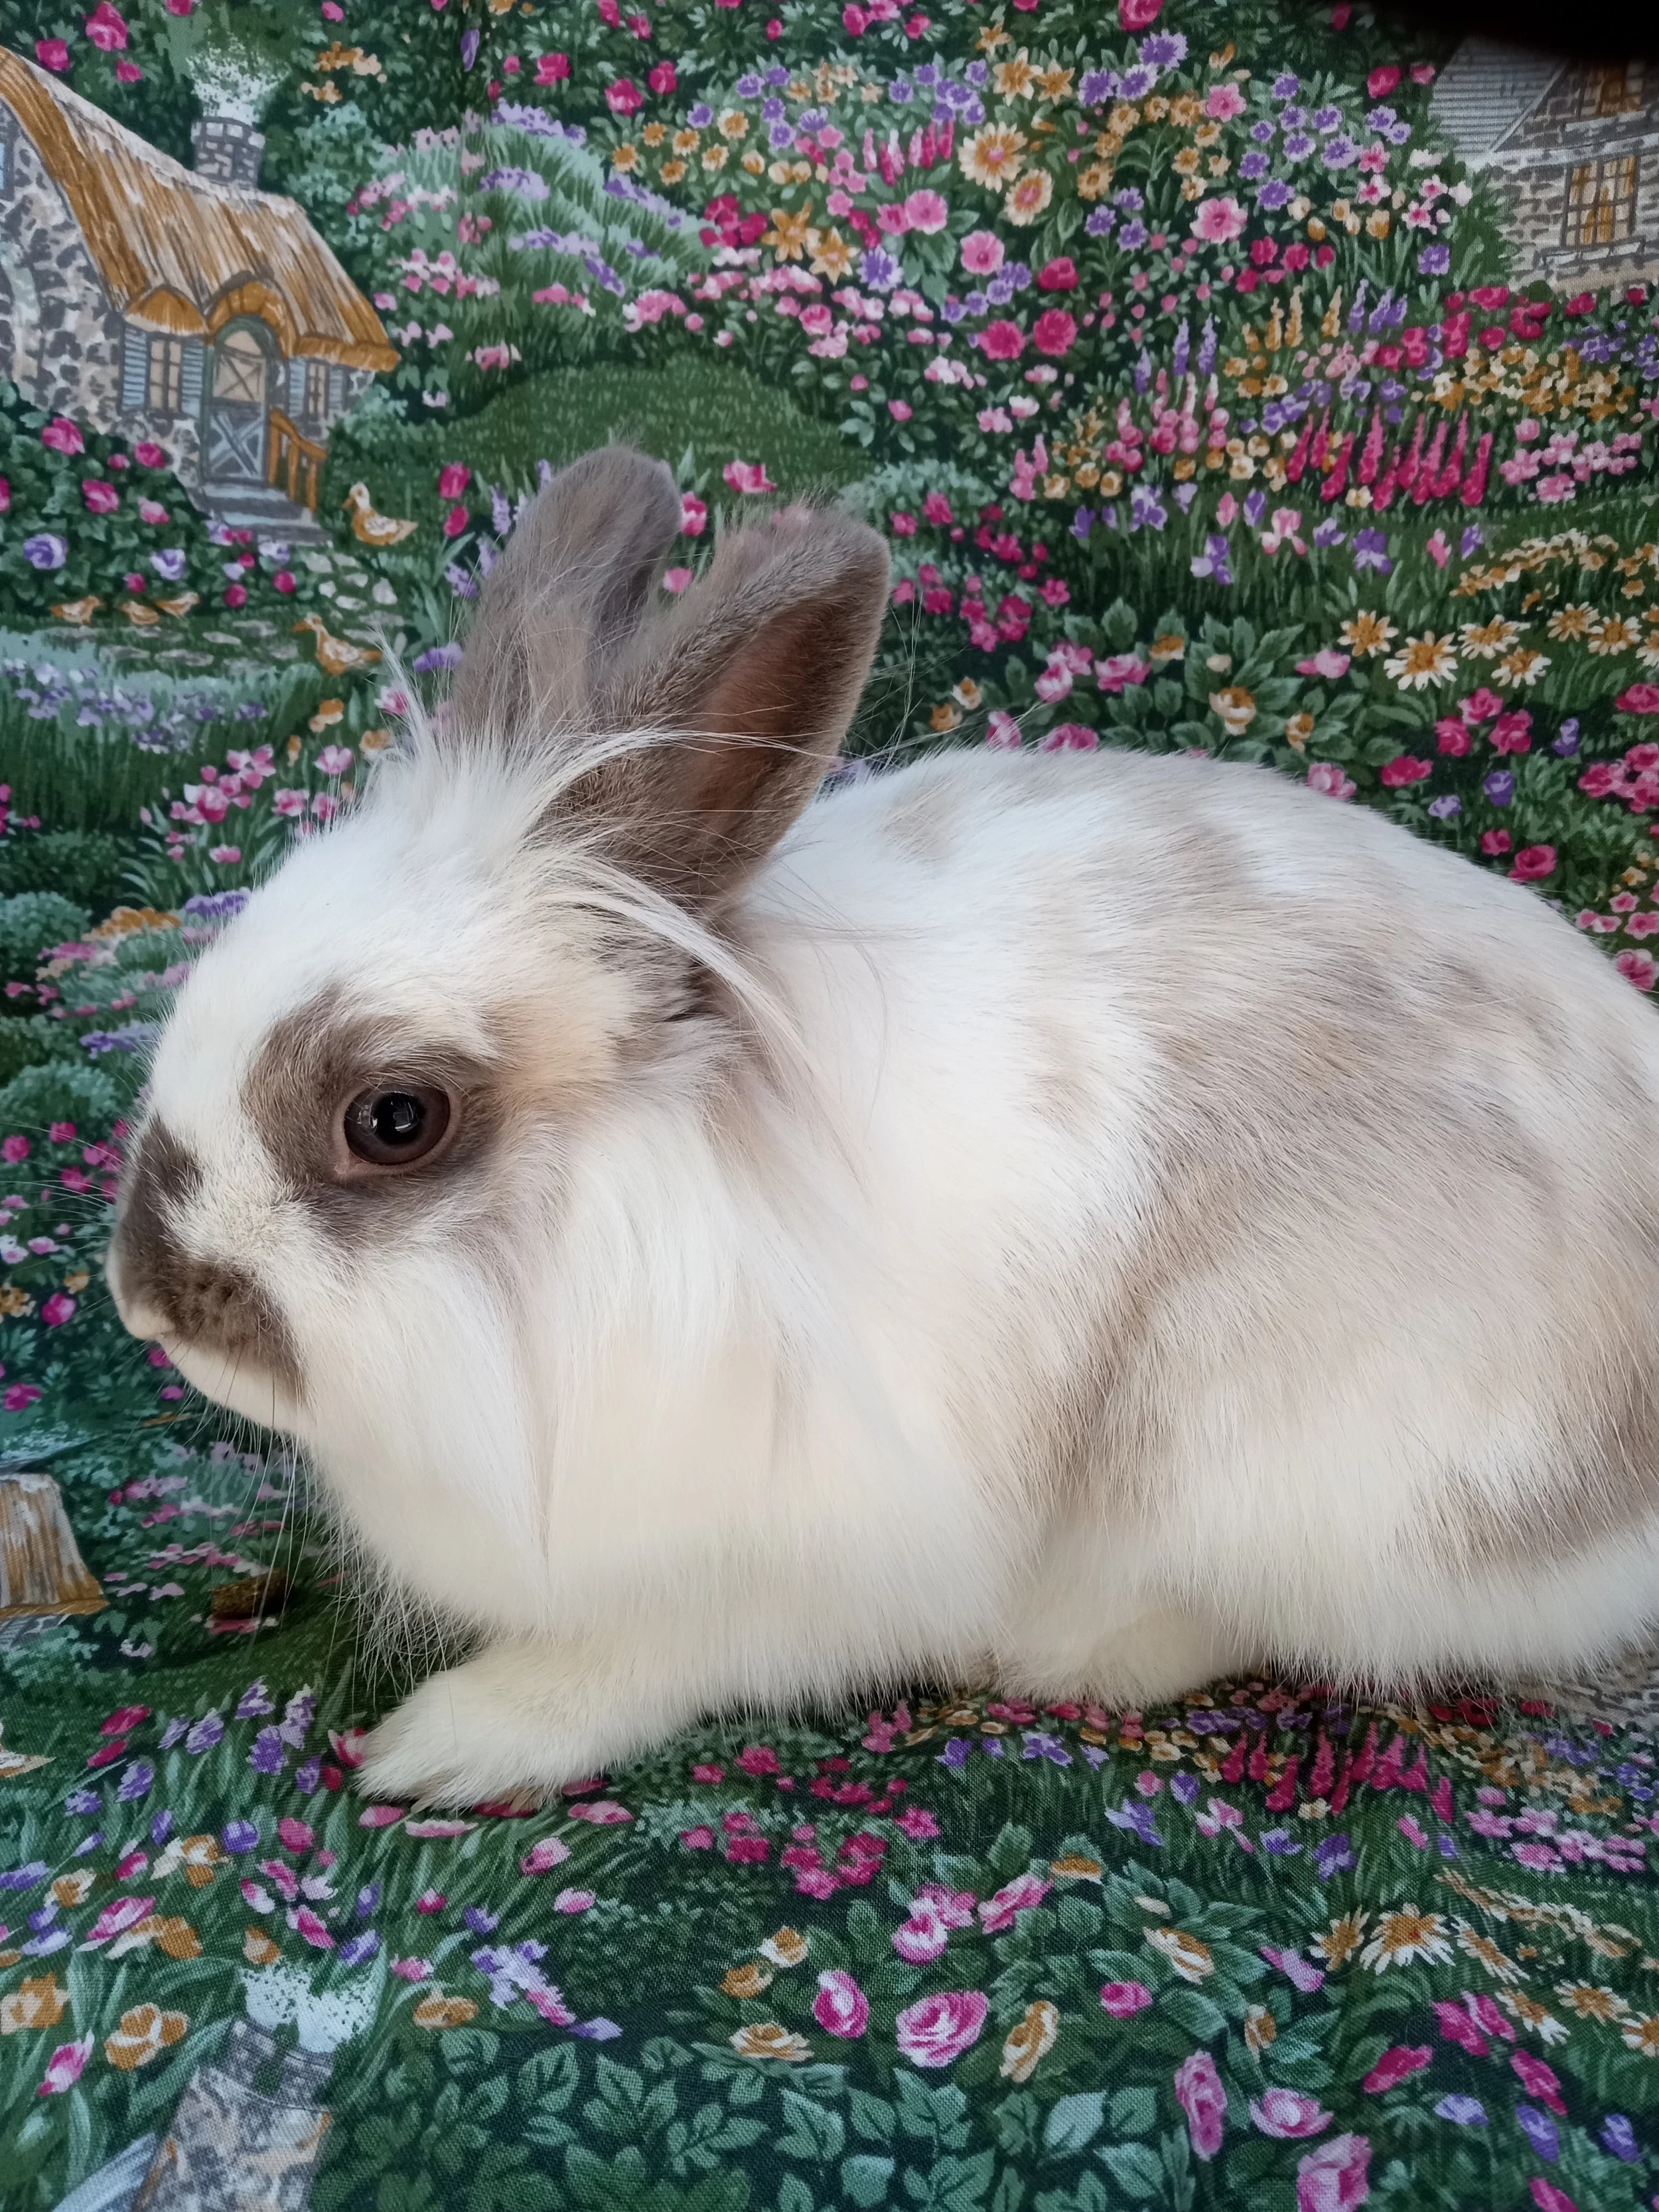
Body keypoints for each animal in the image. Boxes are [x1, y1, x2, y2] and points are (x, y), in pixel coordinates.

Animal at [105, 442, 1659, 1806]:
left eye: (394, 1117)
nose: (146, 1303)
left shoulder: (782, 1569)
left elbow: (631, 1662)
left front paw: (451, 1739)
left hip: (1288, 1454)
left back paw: (1066, 1645)